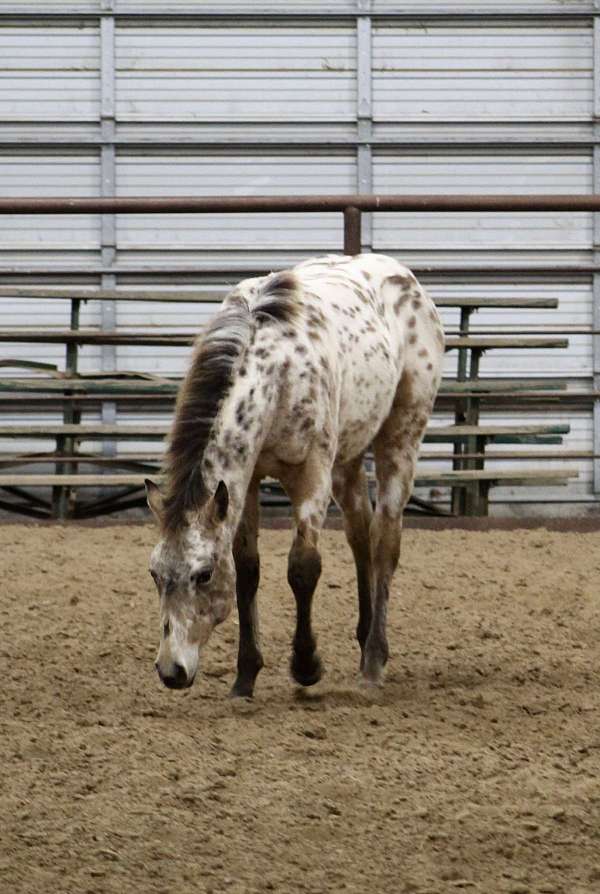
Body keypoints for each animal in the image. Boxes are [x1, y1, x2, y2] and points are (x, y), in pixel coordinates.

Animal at [145, 256, 446, 696]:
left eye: (203, 575)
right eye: (155, 573)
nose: (171, 671)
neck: (277, 371)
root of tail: (405, 278)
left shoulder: (311, 473)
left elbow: (303, 567)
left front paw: (306, 666)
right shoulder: (246, 479)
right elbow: (247, 568)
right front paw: (245, 676)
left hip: (401, 435)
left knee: (385, 541)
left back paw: (374, 662)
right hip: (347, 458)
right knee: (360, 534)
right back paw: (363, 638)